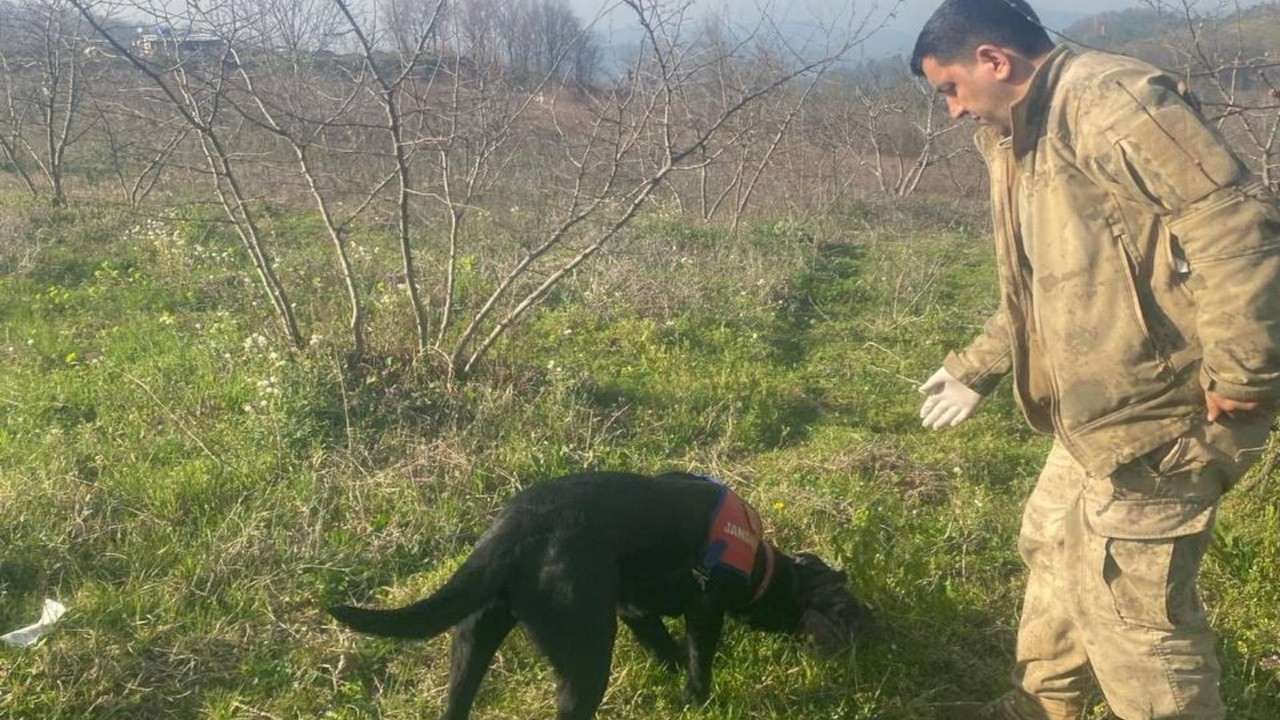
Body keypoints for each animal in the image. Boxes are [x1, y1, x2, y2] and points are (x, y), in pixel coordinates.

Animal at [330, 468, 870, 712]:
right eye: (841, 608)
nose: (867, 627)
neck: (762, 566)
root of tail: (513, 529)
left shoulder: (634, 608)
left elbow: (664, 645)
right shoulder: (704, 609)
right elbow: (698, 662)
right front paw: (695, 700)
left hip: (472, 641)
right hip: (585, 659)